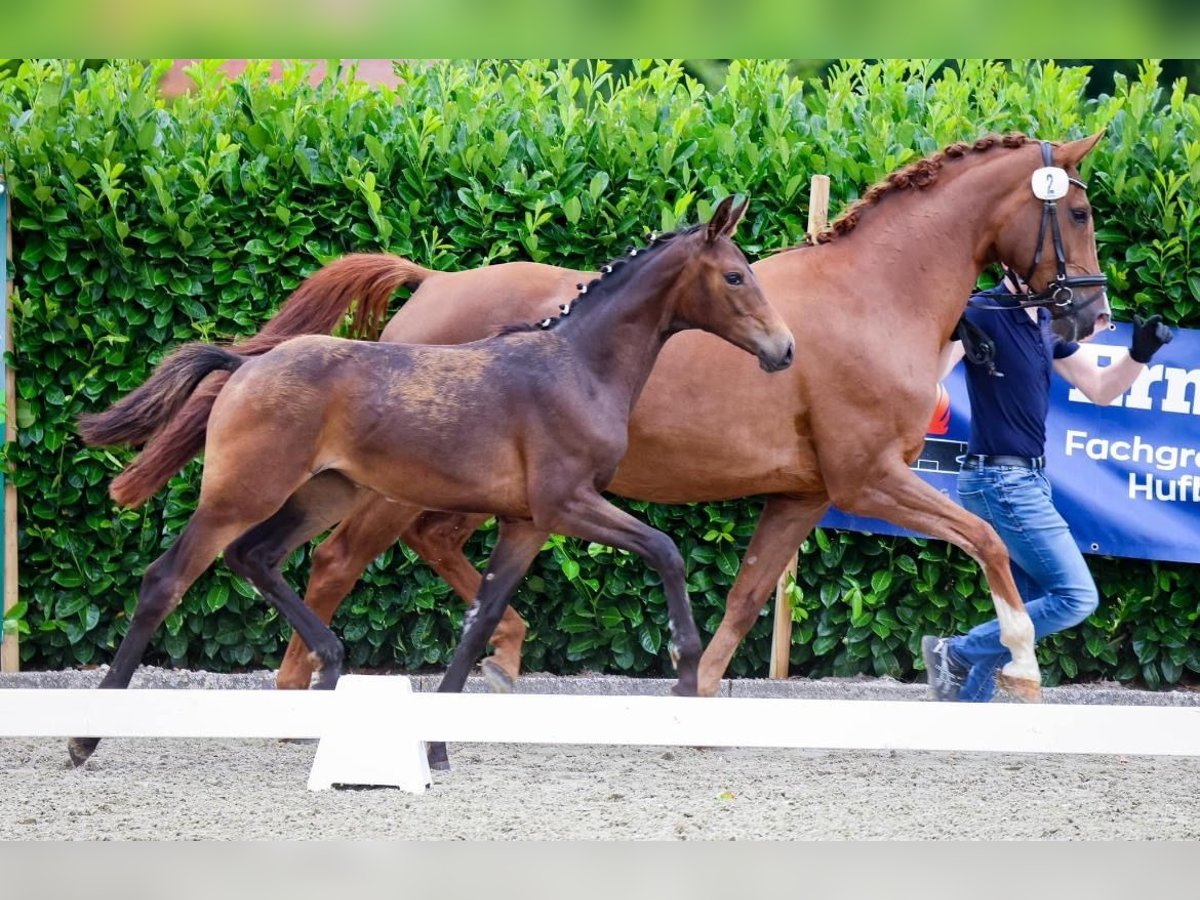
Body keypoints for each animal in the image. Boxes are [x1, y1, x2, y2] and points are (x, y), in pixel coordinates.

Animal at [70, 199, 792, 768]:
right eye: (735, 275)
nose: (783, 351)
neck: (577, 367)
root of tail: (244, 366)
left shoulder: (528, 523)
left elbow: (480, 622)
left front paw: (440, 745)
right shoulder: (570, 504)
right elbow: (667, 551)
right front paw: (684, 672)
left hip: (320, 493)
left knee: (258, 557)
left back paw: (331, 663)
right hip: (242, 494)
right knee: (168, 580)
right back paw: (84, 739)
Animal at [88, 132, 1108, 705]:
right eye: (1083, 212)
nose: (1088, 318)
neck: (875, 293)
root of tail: (435, 282)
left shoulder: (803, 495)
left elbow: (745, 598)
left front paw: (694, 693)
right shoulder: (870, 479)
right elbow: (987, 538)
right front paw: (1023, 666)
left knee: (419, 547)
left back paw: (495, 650)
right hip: (378, 486)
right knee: (334, 563)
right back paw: (308, 682)